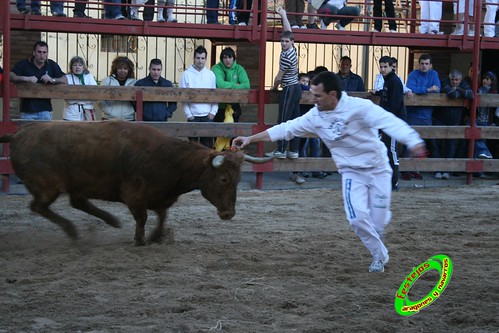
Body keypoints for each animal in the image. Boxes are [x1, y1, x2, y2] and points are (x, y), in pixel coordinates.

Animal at [0, 121, 274, 244]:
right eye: (224, 178)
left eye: (238, 180)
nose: (229, 214)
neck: (170, 159)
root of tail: (18, 134)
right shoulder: (135, 197)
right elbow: (142, 217)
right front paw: (140, 239)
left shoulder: (161, 198)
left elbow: (162, 216)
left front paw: (155, 236)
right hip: (48, 186)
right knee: (40, 206)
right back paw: (72, 230)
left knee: (76, 202)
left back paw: (109, 220)